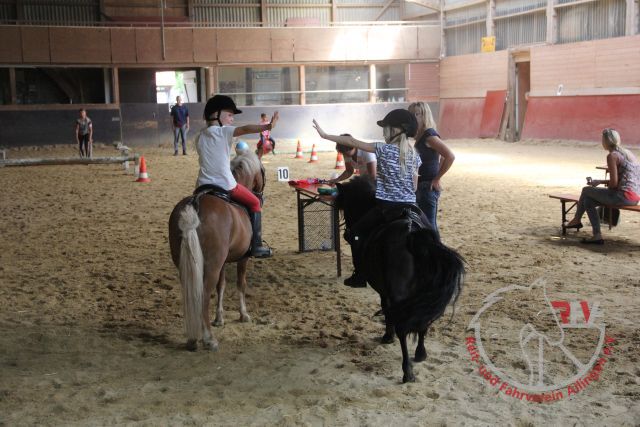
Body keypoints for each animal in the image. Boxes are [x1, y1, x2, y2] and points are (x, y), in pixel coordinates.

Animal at [168, 151, 265, 351]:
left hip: (185, 263)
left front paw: (219, 318)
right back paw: (208, 338)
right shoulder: (243, 258)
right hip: (211, 265)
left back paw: (192, 338)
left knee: (191, 293)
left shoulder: (223, 261)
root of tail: (195, 204)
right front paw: (243, 315)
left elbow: (221, 286)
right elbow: (240, 284)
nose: (260, 196)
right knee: (203, 295)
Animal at [334, 176, 465, 383]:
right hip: (423, 293)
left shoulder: (385, 292)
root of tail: (411, 231)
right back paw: (420, 354)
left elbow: (387, 310)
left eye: (346, 205)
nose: (346, 230)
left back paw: (407, 371)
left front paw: (388, 336)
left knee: (403, 326)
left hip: (399, 293)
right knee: (423, 322)